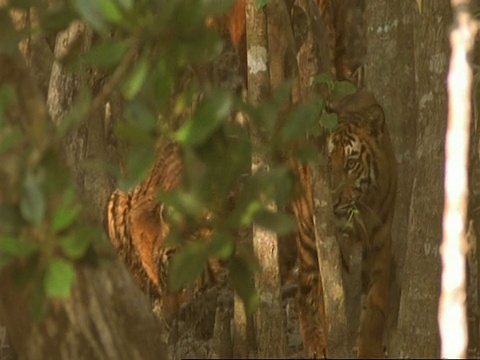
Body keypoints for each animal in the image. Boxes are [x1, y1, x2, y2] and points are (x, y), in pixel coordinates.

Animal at [326, 90, 398, 358]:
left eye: (351, 164)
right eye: (329, 163)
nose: (333, 201)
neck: (365, 202)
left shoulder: (380, 240)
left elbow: (375, 303)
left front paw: (369, 349)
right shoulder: (340, 241)